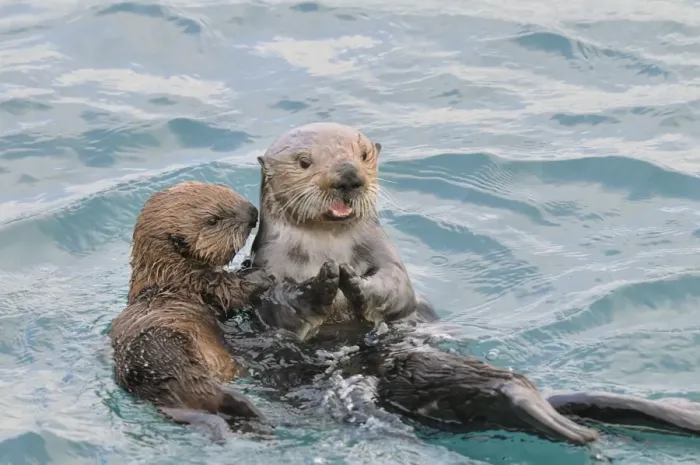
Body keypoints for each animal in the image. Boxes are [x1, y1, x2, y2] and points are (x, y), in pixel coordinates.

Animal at [241, 122, 700, 445]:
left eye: (364, 153)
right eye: (304, 161)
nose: (348, 175)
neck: (326, 246)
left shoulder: (386, 254)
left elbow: (398, 289)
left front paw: (355, 282)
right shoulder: (267, 270)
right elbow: (280, 310)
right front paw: (319, 287)